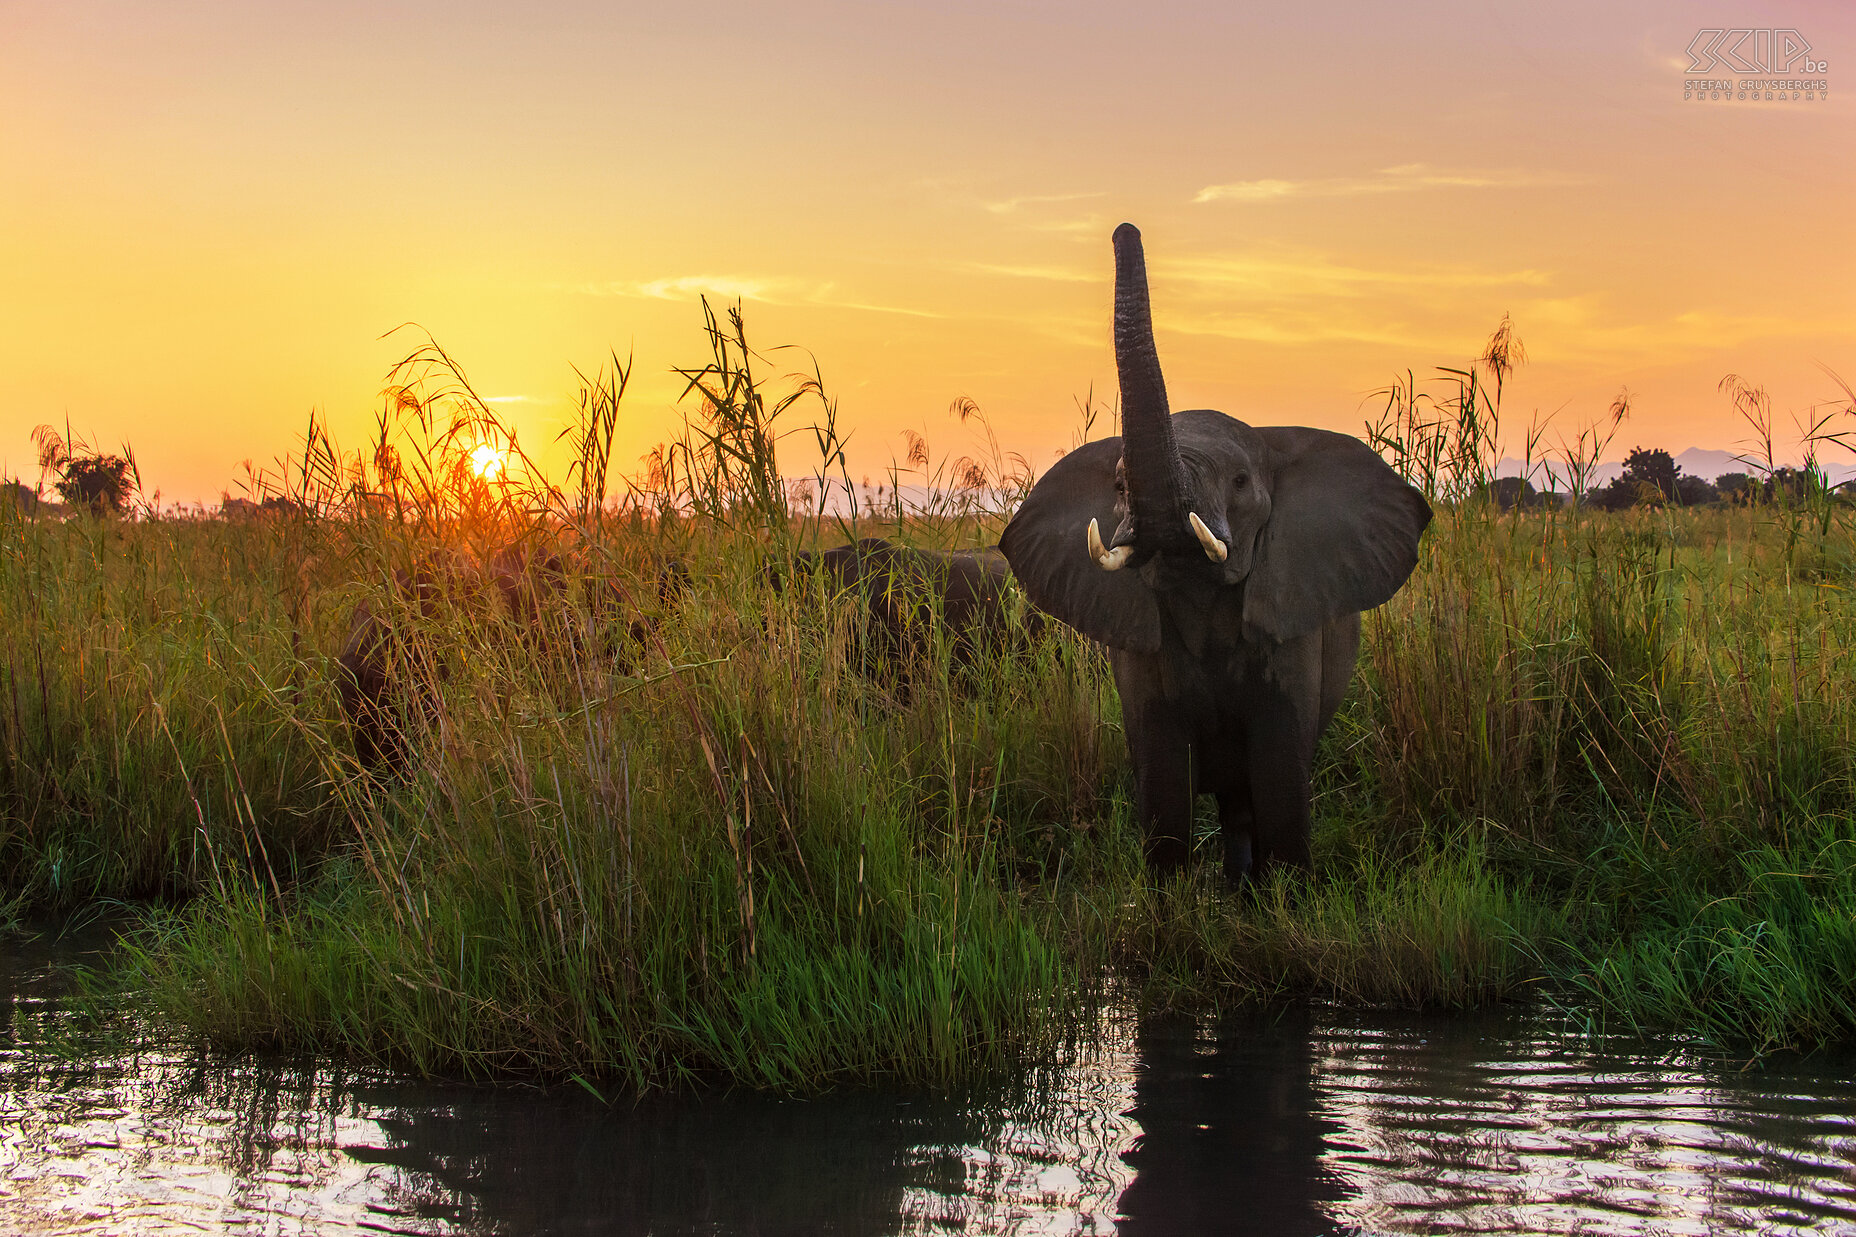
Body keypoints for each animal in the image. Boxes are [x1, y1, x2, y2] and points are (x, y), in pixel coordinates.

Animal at [1002, 226, 1432, 880]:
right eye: (1119, 485)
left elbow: (1280, 771)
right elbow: (1161, 782)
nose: (1124, 230)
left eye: (1240, 483)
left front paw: (1286, 896)